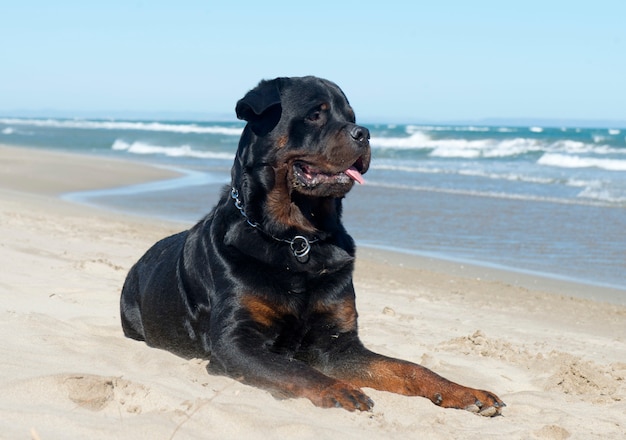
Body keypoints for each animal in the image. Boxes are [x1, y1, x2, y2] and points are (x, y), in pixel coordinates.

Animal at [119, 76, 504, 416]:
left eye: (351, 116)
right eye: (315, 115)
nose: (364, 133)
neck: (297, 239)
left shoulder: (338, 344)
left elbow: (406, 367)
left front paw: (464, 392)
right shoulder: (234, 341)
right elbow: (295, 368)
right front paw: (339, 389)